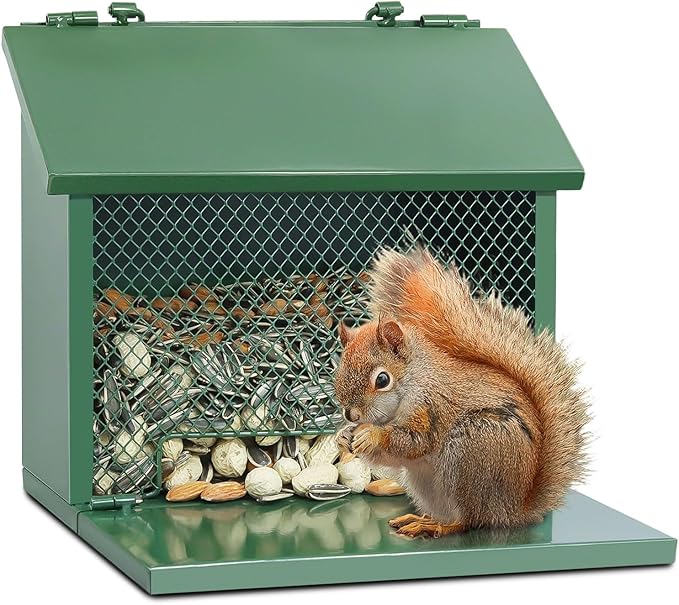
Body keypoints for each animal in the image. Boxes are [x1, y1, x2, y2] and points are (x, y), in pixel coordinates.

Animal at [334, 247, 590, 538]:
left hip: (472, 450)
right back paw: (422, 519)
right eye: (339, 367)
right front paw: (343, 435)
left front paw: (371, 435)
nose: (351, 414)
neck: (414, 380)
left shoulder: (431, 407)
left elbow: (414, 442)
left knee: (470, 519)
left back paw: (437, 526)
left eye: (382, 379)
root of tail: (514, 509)